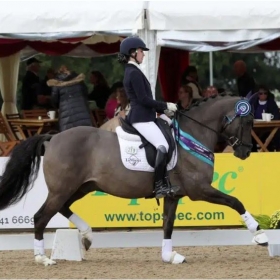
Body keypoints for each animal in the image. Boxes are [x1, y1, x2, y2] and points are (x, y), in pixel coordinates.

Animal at [0, 93, 268, 266]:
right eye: (247, 121)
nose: (245, 152)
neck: (192, 135)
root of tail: (53, 138)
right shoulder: (199, 190)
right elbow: (235, 201)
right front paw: (259, 233)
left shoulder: (174, 194)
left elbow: (168, 224)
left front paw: (169, 256)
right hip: (62, 188)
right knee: (41, 216)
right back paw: (42, 258)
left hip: (80, 187)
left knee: (62, 208)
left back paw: (86, 236)